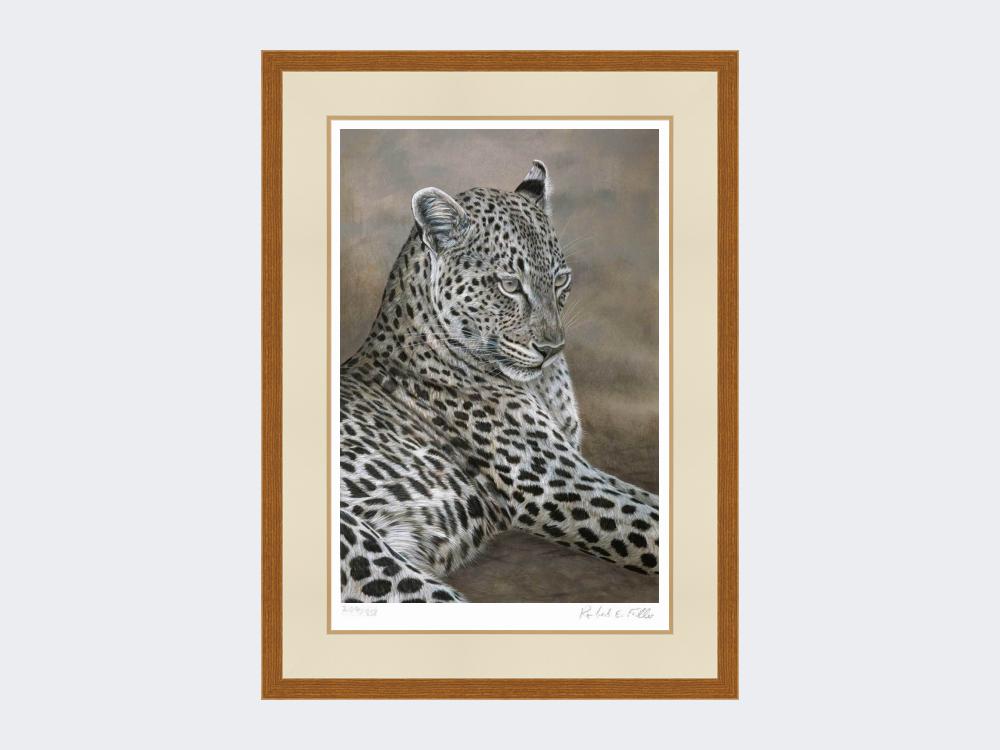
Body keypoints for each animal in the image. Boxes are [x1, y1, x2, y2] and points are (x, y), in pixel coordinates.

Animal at [339, 160, 659, 603]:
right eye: (509, 285)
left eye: (560, 281)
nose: (552, 348)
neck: (542, 384)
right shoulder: (553, 483)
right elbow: (649, 526)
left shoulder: (576, 466)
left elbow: (649, 499)